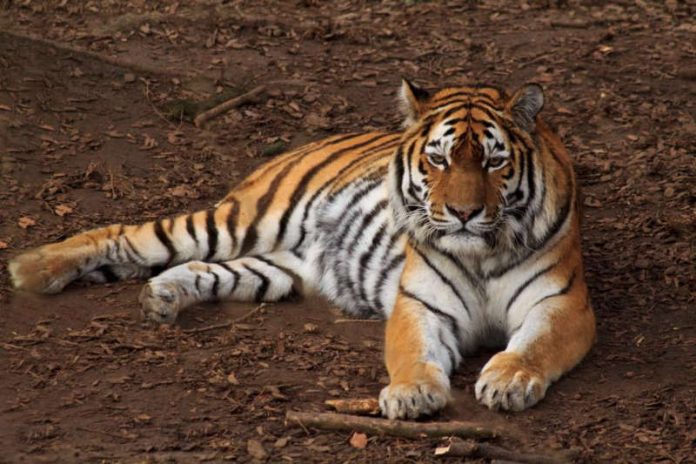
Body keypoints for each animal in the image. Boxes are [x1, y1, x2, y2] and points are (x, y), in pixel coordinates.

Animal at [6, 80, 592, 420]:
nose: (465, 213)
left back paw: (162, 298)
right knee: (130, 236)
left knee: (199, 269)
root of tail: (309, 142)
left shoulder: (562, 303)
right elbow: (412, 352)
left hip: (275, 267)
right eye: (439, 159)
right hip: (236, 222)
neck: (480, 251)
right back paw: (33, 268)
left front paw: (509, 379)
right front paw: (411, 393)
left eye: (494, 162)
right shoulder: (420, 303)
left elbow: (535, 344)